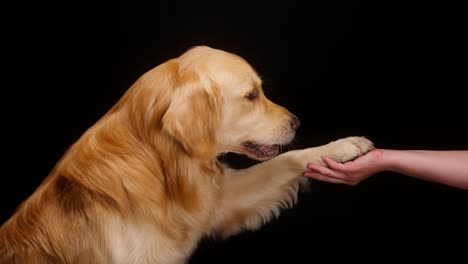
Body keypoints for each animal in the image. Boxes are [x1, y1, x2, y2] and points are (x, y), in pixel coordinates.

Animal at [0, 46, 372, 262]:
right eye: (251, 95)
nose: (296, 122)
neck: (162, 163)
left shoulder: (221, 201)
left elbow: (287, 159)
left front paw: (344, 146)